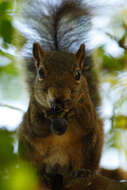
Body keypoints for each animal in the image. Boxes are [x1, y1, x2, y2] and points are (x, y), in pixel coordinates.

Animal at [17, 0, 103, 190]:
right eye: (40, 73)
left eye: (78, 74)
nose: (60, 97)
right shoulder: (33, 109)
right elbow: (38, 126)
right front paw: (48, 114)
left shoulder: (88, 107)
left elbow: (86, 120)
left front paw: (73, 111)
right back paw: (40, 174)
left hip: (92, 145)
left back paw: (84, 172)